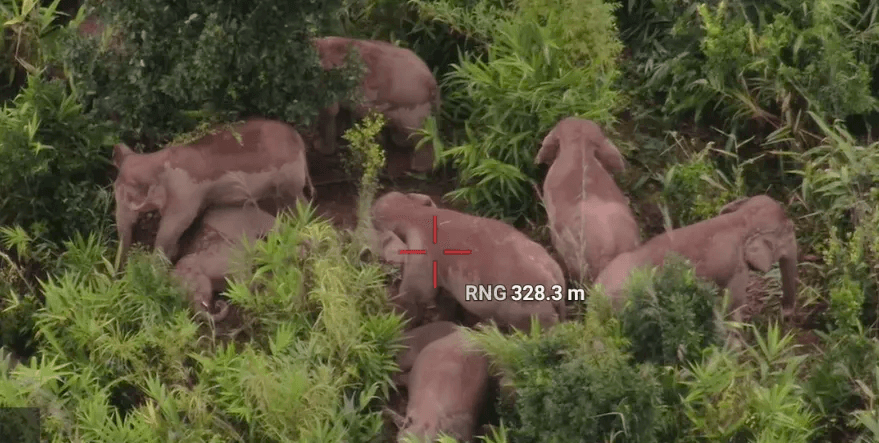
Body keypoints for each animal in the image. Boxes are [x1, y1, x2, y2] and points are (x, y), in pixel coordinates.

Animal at [113, 118, 314, 264]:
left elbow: (172, 226)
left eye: (127, 197)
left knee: (297, 201)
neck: (154, 161)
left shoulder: (185, 193)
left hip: (290, 176)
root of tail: (299, 139)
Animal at [311, 36, 440, 173]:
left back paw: (419, 168)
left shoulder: (323, 79)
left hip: (412, 103)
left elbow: (329, 111)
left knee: (418, 133)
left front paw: (320, 146)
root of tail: (433, 83)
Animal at [371, 191, 567, 331]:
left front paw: (402, 325)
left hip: (529, 309)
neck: (414, 212)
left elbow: (415, 294)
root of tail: (555, 282)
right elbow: (445, 296)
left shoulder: (421, 254)